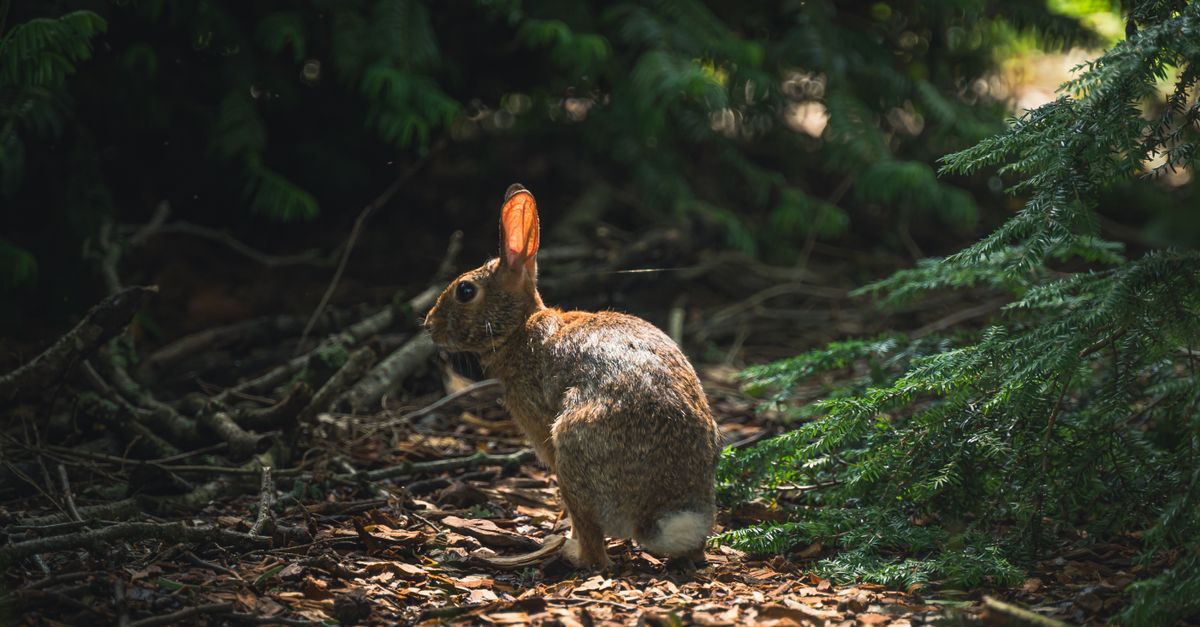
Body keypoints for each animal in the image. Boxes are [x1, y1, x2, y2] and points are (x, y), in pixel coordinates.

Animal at [423, 184, 721, 568]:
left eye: (465, 291)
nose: (429, 325)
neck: (519, 328)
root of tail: (660, 514)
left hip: (570, 450)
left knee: (596, 550)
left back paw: (569, 553)